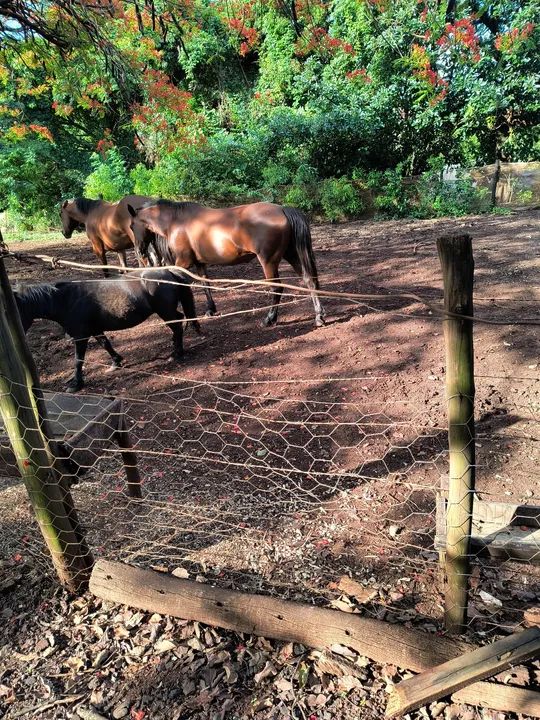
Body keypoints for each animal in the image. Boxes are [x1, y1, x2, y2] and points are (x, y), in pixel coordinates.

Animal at [14, 269, 201, 392]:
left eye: (16, 310)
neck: (65, 300)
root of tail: (169, 271)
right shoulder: (95, 330)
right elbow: (106, 344)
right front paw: (116, 362)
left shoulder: (81, 336)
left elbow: (78, 360)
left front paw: (76, 384)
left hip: (165, 312)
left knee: (177, 326)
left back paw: (176, 353)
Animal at [127, 200, 325, 327]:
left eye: (132, 226)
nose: (139, 251)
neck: (176, 221)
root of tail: (283, 209)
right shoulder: (199, 263)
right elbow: (205, 285)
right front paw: (210, 310)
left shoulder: (182, 263)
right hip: (291, 255)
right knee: (309, 280)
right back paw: (319, 316)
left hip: (269, 261)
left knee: (277, 288)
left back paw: (269, 319)